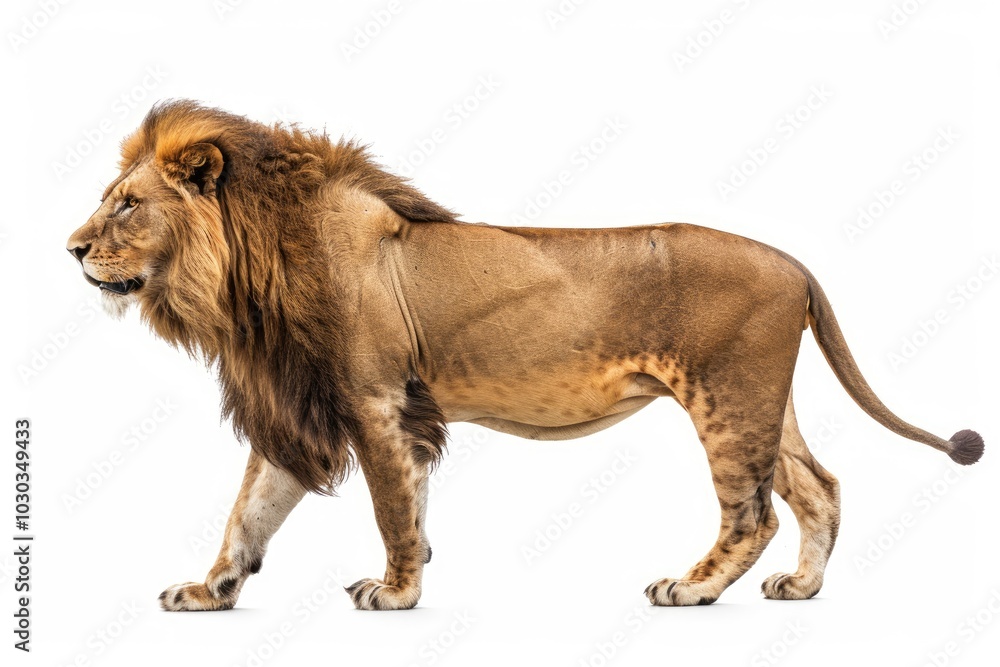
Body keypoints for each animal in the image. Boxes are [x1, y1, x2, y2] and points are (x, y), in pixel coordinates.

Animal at [66, 100, 983, 611]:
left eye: (126, 204)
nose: (70, 249)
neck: (243, 277)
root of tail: (797, 265)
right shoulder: (308, 405)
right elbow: (250, 513)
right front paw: (210, 591)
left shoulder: (375, 399)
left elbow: (391, 507)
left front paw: (396, 591)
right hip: (763, 401)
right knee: (818, 488)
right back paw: (800, 588)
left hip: (727, 398)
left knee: (751, 512)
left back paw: (689, 587)